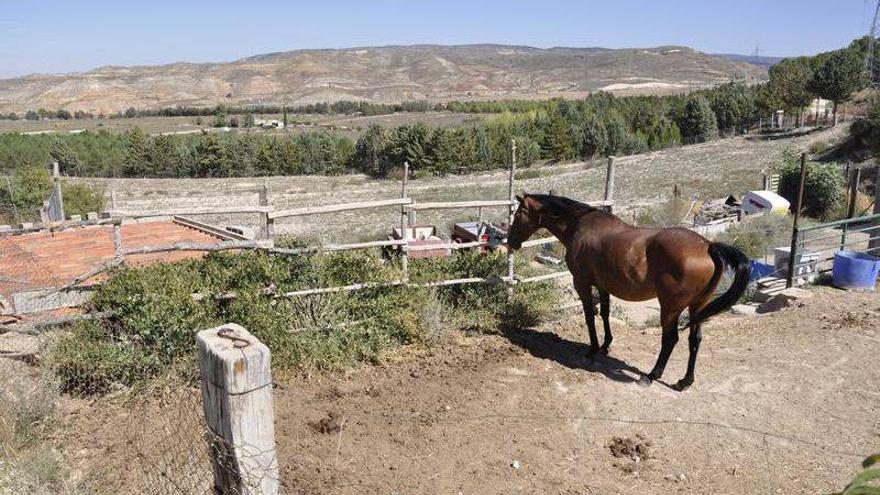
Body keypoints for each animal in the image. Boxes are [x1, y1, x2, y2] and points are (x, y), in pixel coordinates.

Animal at [506, 194, 744, 392]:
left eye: (518, 213)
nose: (511, 242)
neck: (579, 226)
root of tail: (708, 246)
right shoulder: (603, 285)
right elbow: (605, 313)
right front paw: (606, 345)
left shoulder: (582, 283)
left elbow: (589, 316)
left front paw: (593, 349)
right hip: (698, 306)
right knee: (695, 340)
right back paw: (684, 382)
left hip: (670, 308)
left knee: (670, 339)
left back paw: (651, 376)